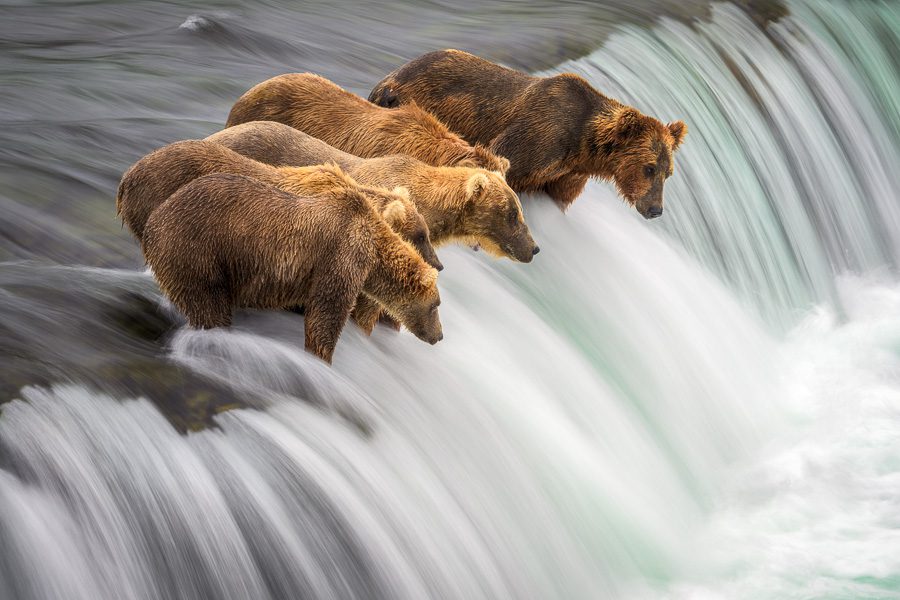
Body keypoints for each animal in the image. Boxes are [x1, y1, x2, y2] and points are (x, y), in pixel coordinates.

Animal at [370, 49, 684, 218]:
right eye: (649, 167)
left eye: (667, 173)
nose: (655, 209)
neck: (584, 145)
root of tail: (389, 77)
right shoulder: (538, 134)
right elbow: (501, 164)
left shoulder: (566, 174)